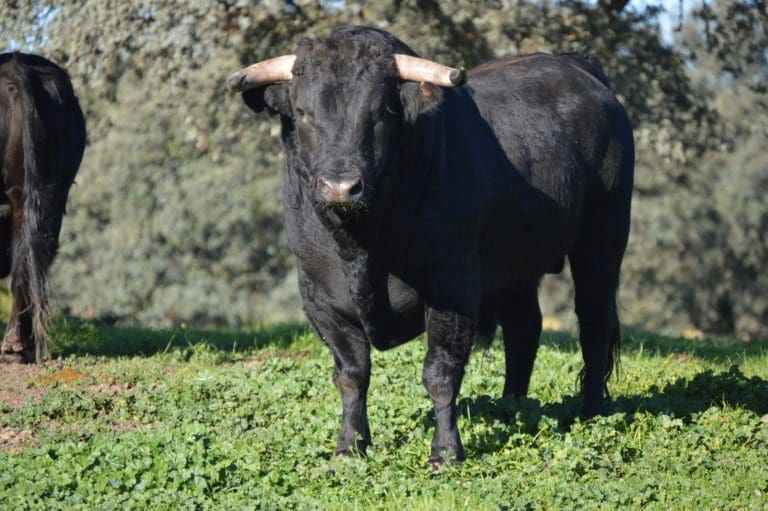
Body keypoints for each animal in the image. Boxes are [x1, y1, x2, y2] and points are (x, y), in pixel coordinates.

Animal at [227, 26, 634, 464]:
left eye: (381, 113)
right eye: (302, 112)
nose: (340, 186)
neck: (361, 241)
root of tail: (578, 66)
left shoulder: (452, 290)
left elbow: (440, 373)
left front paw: (446, 451)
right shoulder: (320, 298)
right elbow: (352, 375)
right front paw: (350, 446)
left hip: (603, 239)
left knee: (594, 321)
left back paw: (591, 409)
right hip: (516, 262)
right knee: (524, 329)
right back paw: (511, 409)